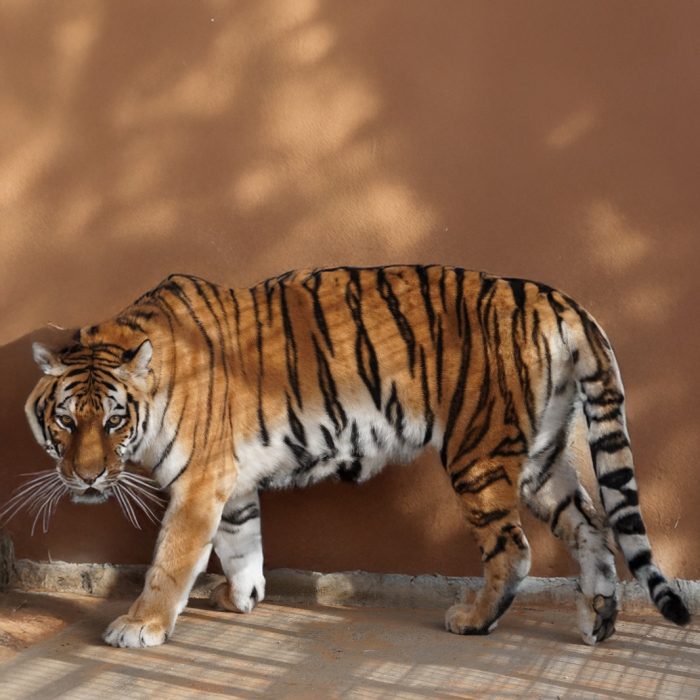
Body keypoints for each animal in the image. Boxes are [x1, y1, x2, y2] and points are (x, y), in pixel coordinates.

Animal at [19, 265, 690, 648]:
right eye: (65, 419)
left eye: (113, 420)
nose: (86, 477)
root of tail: (557, 299)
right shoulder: (231, 482)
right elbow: (242, 542)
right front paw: (242, 598)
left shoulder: (199, 481)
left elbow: (172, 556)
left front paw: (142, 625)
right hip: (542, 456)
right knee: (594, 528)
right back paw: (598, 623)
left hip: (479, 451)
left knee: (515, 548)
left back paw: (474, 620)